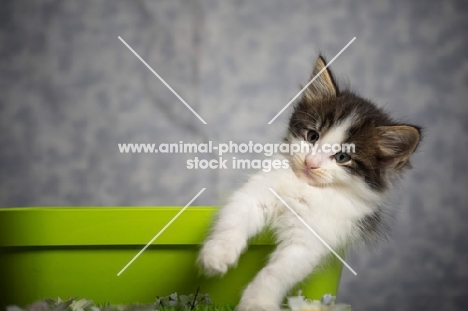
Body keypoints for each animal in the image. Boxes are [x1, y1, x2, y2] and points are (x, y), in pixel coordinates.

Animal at [196, 54, 422, 310]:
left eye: (343, 157)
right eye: (312, 136)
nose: (310, 162)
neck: (304, 187)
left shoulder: (311, 239)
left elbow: (276, 273)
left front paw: (257, 302)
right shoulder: (255, 194)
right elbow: (233, 222)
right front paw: (217, 255)